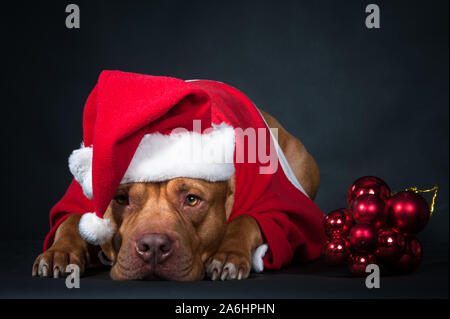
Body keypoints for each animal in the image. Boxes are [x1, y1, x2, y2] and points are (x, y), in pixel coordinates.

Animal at [32, 73, 324, 282]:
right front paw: (59, 252)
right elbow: (70, 220)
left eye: (192, 199)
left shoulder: (286, 212)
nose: (153, 246)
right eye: (121, 199)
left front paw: (228, 253)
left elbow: (247, 219)